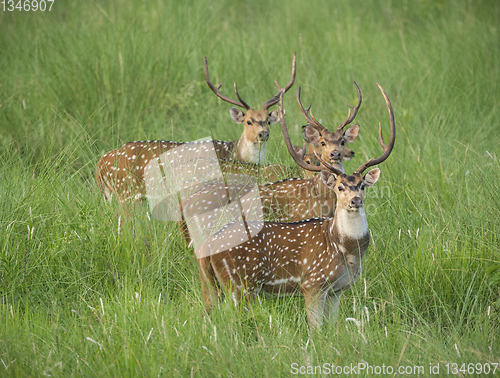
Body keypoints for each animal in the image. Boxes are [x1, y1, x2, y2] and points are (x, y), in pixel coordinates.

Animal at [94, 53, 296, 204]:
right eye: (248, 121)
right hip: (126, 192)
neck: (236, 153)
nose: (263, 134)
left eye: (267, 120)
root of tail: (99, 164)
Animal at [195, 84, 394, 326]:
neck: (346, 251)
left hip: (211, 284)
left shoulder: (337, 290)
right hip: (240, 284)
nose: (355, 200)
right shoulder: (313, 283)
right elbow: (316, 328)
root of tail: (206, 248)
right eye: (340, 187)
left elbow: (333, 327)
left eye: (362, 186)